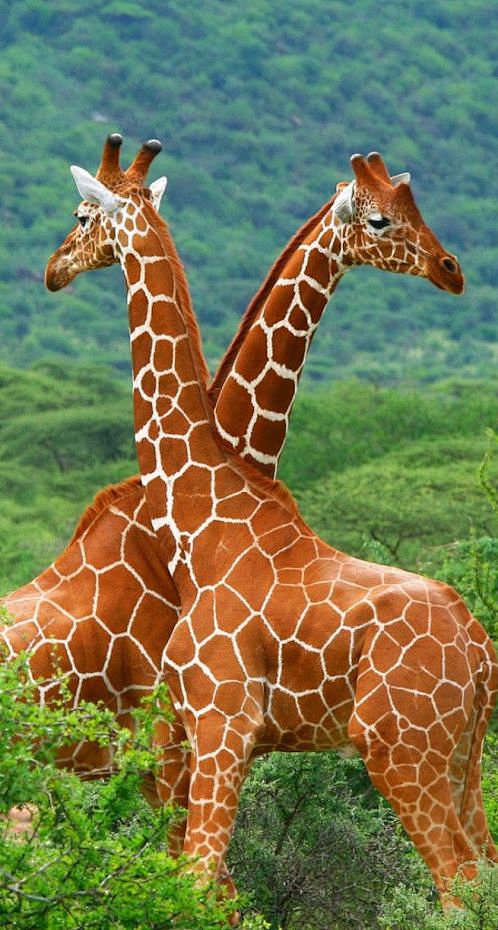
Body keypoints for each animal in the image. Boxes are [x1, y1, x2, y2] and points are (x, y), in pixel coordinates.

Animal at [45, 135, 498, 903]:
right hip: (461, 759)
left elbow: (198, 883)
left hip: (402, 749)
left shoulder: (218, 721)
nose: (53, 270)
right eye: (383, 217)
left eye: (81, 215)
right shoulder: (204, 736)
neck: (201, 518)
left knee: (459, 881)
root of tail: (481, 651)